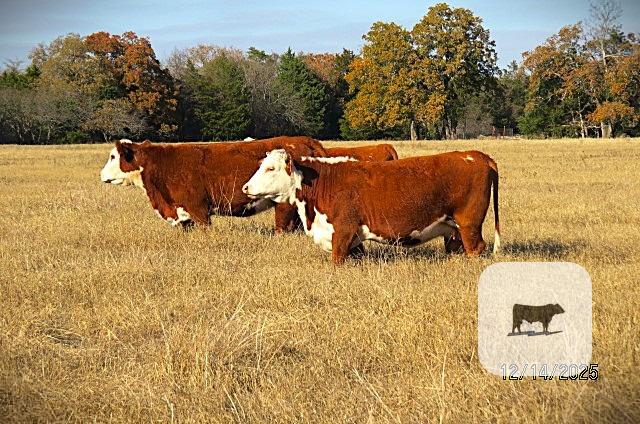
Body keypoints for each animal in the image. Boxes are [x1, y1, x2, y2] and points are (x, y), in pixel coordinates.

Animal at [242, 149, 500, 264]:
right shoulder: (354, 239)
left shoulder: (343, 230)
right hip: (454, 228)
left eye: (270, 168)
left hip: (469, 224)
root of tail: (477, 155)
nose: (245, 188)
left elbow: (337, 259)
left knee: (476, 248)